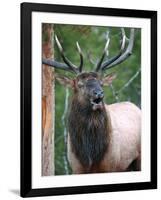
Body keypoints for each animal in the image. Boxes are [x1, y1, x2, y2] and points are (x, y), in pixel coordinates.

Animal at [42, 28, 141, 173]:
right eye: (80, 84)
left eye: (101, 83)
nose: (99, 93)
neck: (90, 155)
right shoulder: (76, 168)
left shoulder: (111, 166)